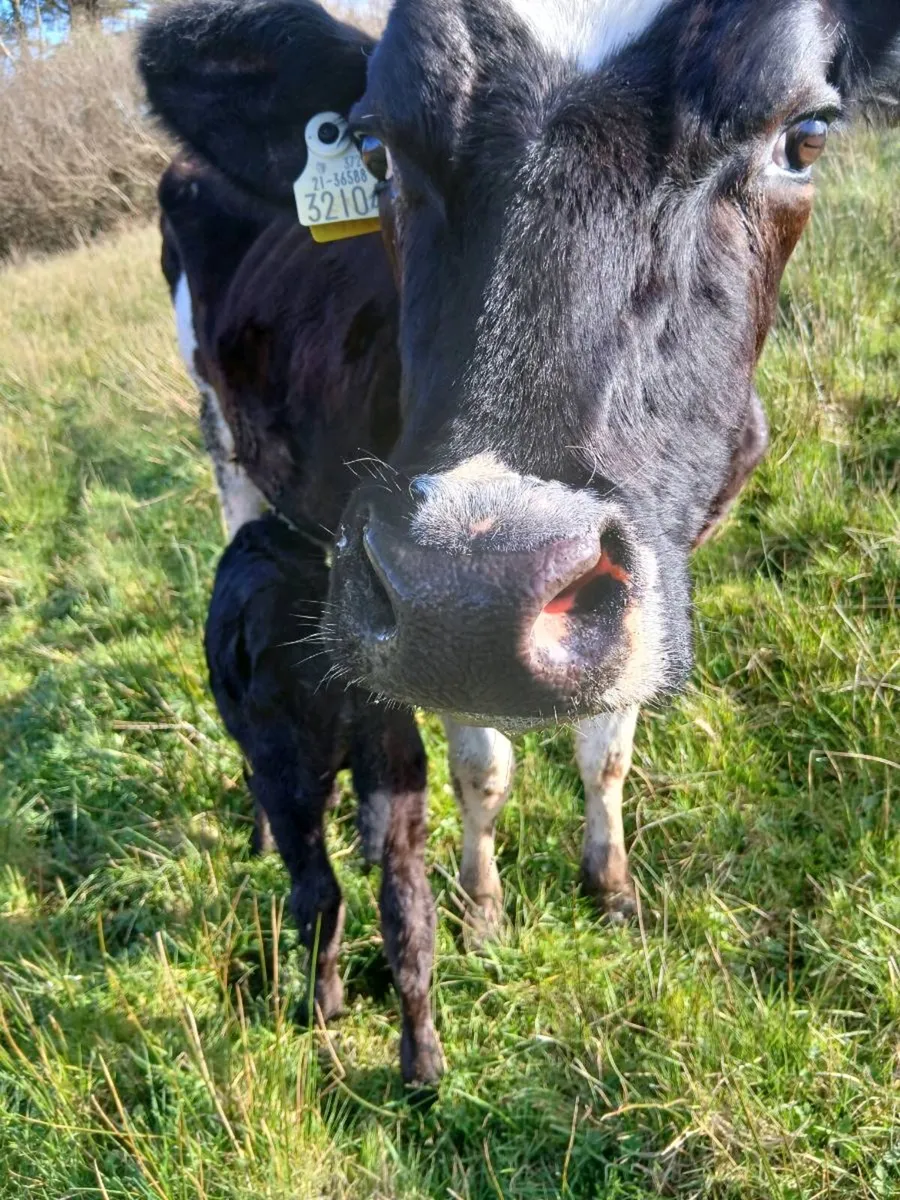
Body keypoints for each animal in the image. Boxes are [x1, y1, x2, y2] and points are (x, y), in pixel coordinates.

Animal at [140, 0, 899, 1084]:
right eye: (373, 146)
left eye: (805, 136)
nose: (486, 591)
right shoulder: (426, 602)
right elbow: (483, 769)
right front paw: (483, 909)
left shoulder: (644, 568)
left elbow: (607, 746)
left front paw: (611, 885)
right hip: (222, 437)